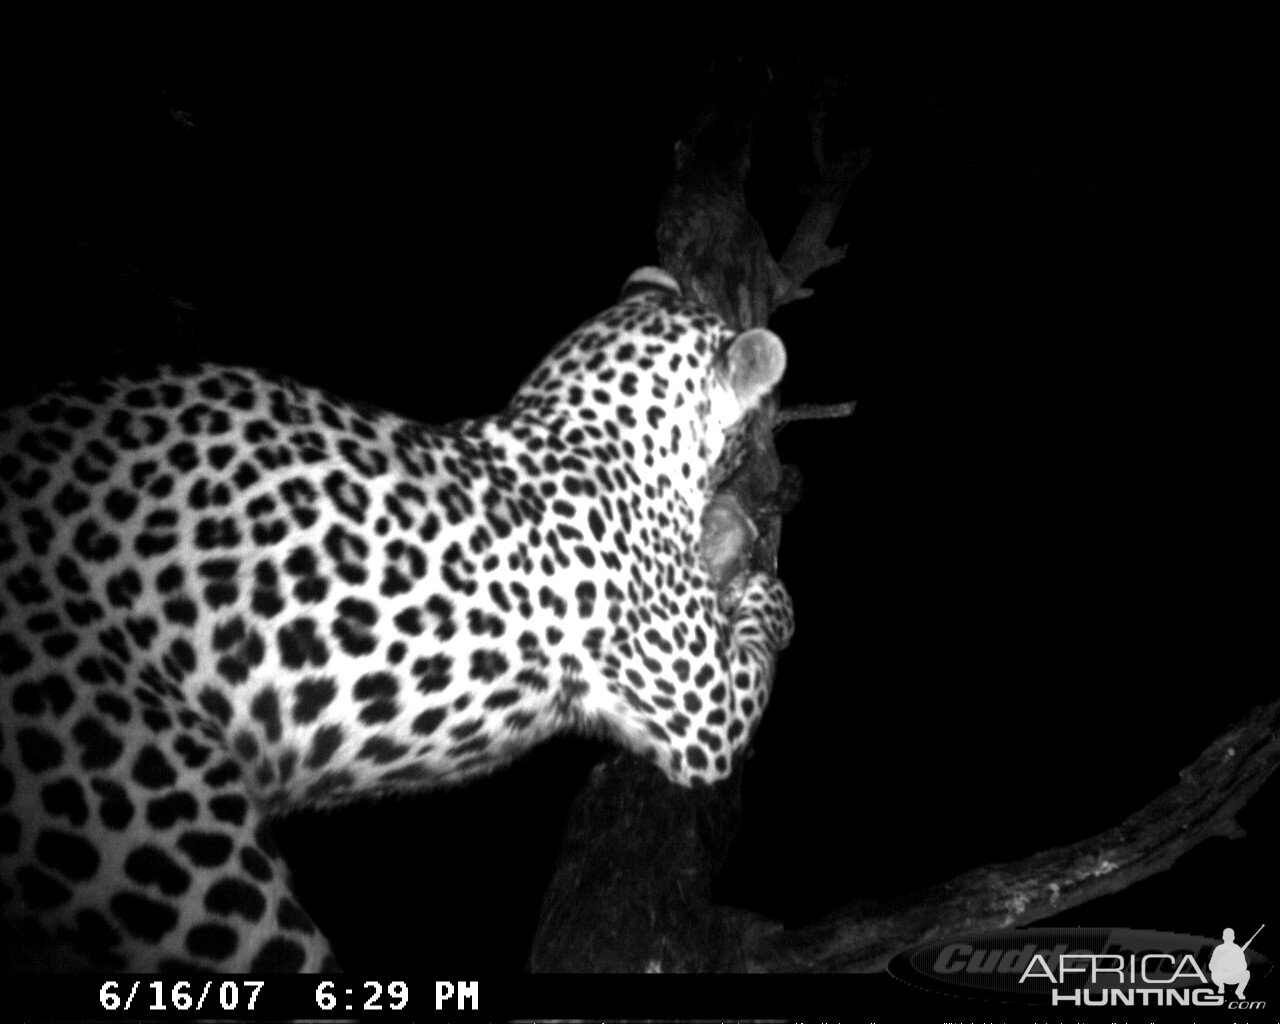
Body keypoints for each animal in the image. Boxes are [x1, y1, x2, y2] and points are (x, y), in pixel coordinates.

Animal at [0, 267, 793, 972]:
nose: (761, 464)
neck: (578, 430)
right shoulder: (704, 714)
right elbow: (763, 629)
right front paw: (766, 584)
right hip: (170, 832)